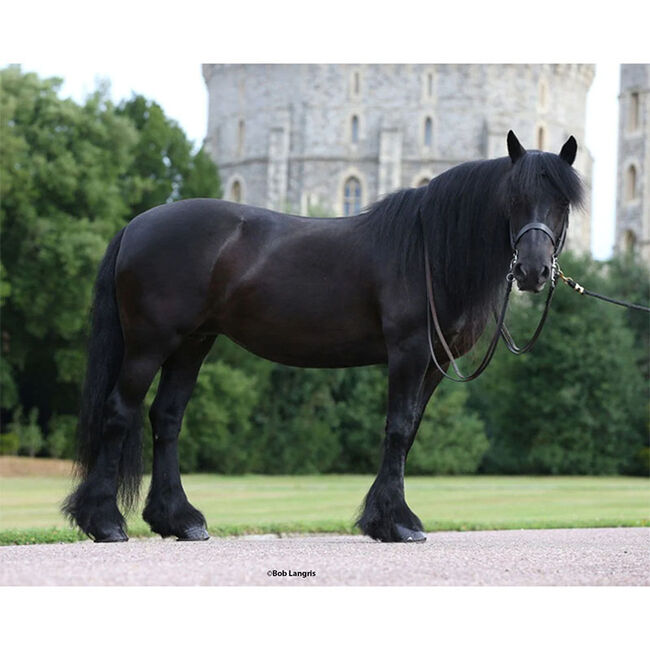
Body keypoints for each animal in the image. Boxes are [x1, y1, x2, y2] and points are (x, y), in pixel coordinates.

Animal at [62, 131, 583, 543]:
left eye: (562, 202)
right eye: (513, 198)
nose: (534, 271)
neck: (429, 251)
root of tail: (136, 224)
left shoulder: (434, 365)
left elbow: (410, 431)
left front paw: (385, 517)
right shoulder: (409, 353)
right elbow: (397, 429)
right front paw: (396, 523)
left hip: (193, 344)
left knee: (167, 419)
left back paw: (180, 520)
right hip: (149, 344)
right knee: (119, 412)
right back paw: (105, 523)